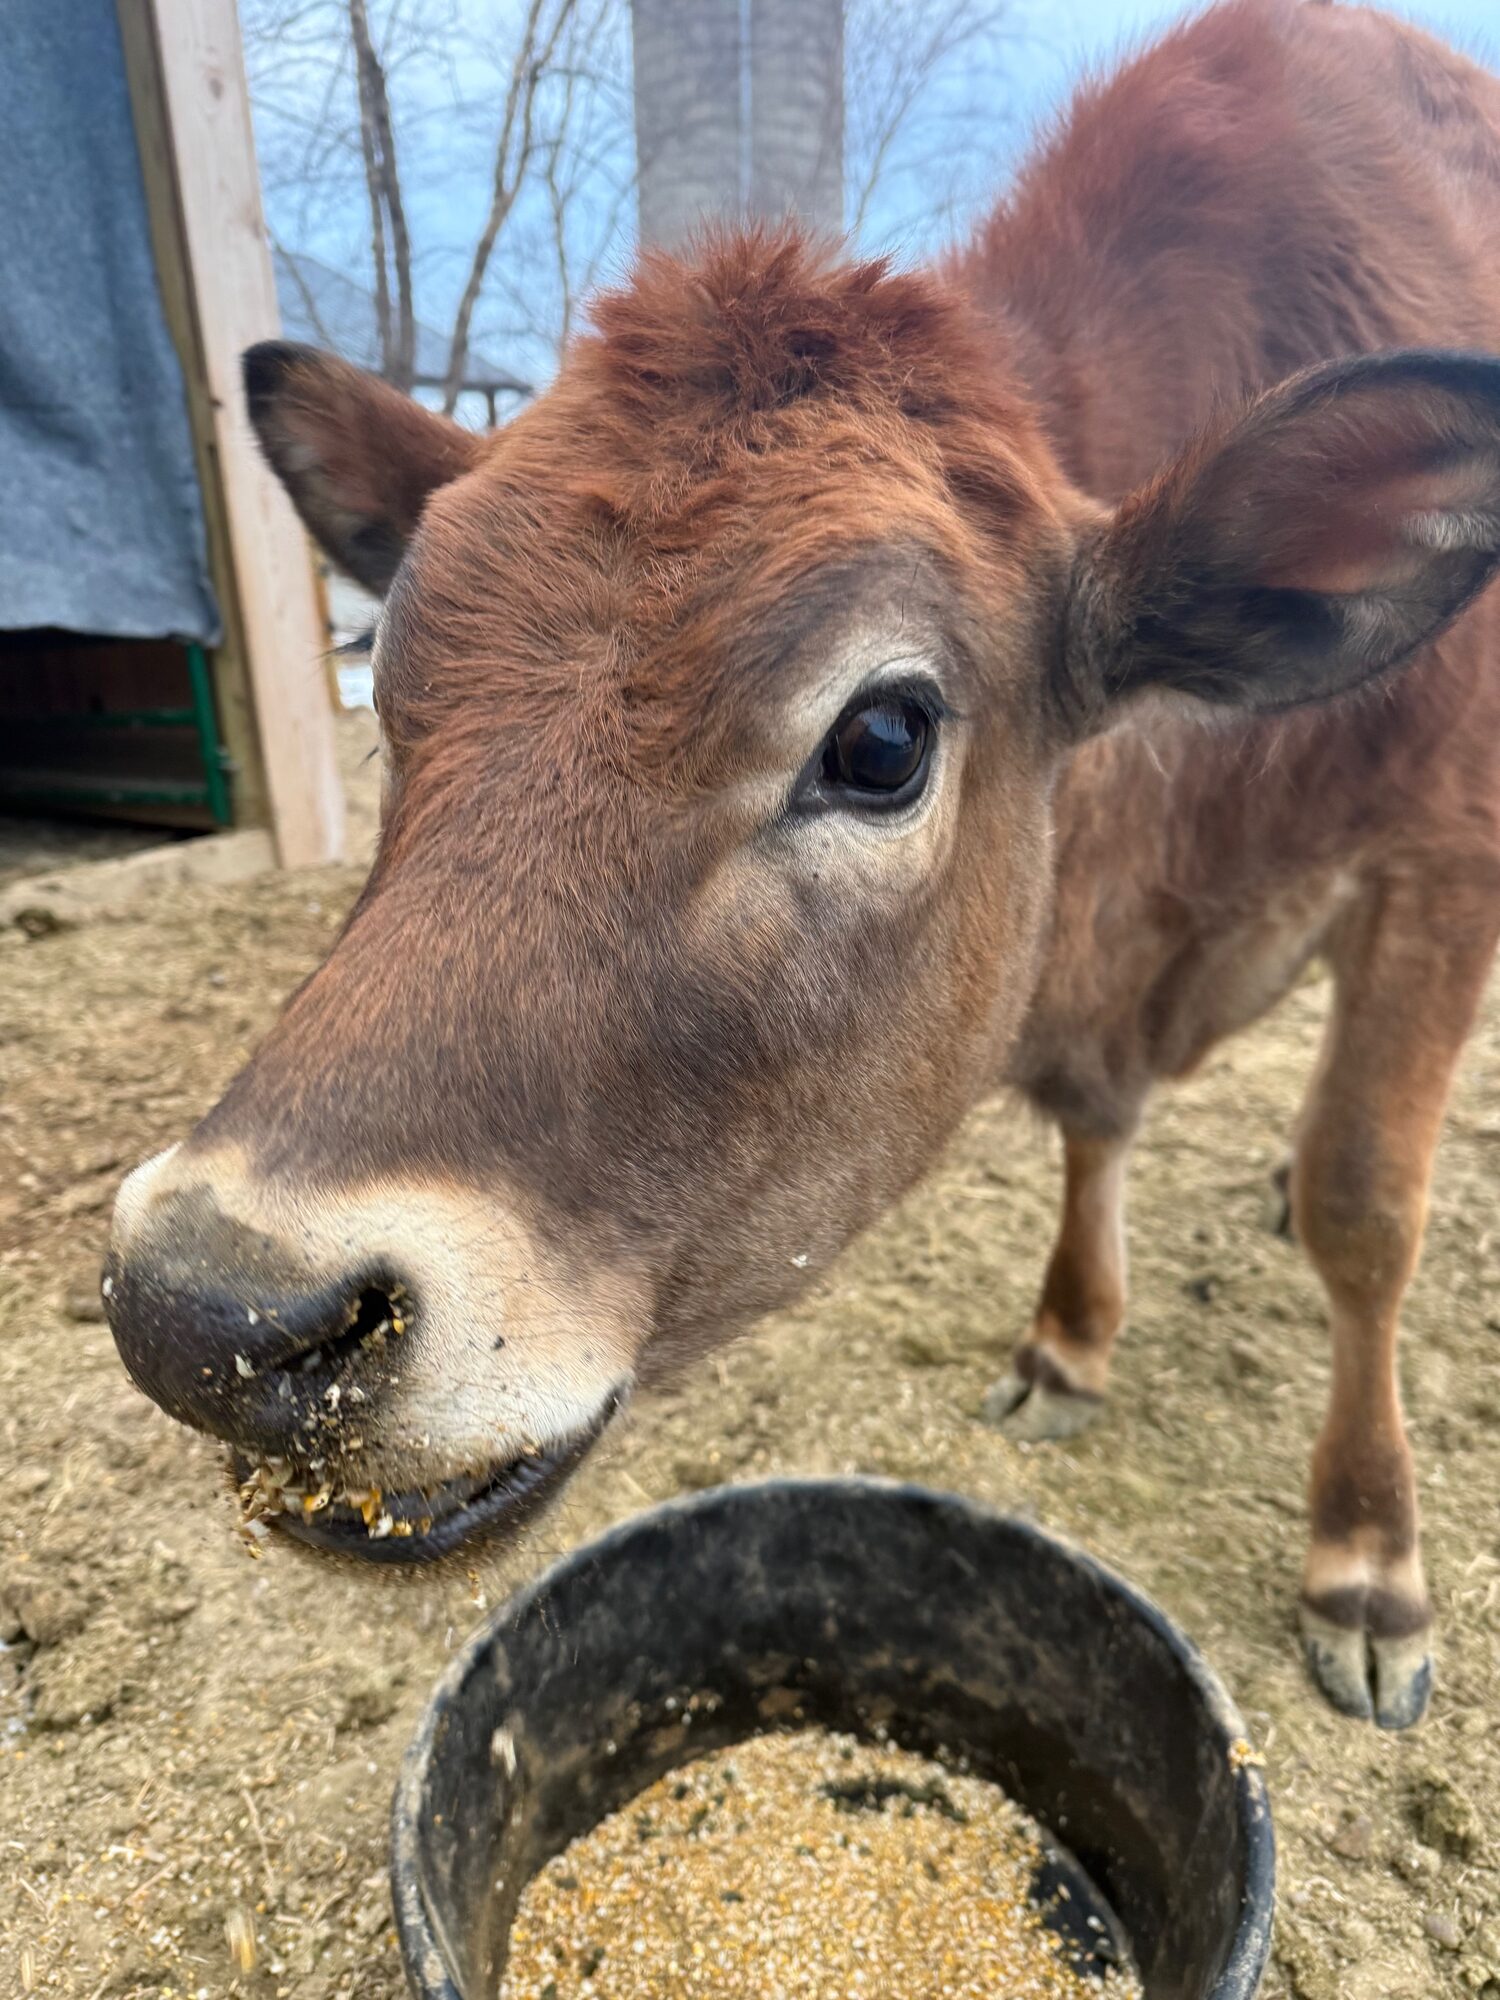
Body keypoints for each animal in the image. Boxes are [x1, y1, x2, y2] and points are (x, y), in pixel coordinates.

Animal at [105, 0, 1500, 1732]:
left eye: (884, 739)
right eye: (383, 666)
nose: (204, 1308)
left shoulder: (1444, 858)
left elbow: (1368, 1197)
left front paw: (1369, 1561)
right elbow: (1095, 1122)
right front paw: (1070, 1340)